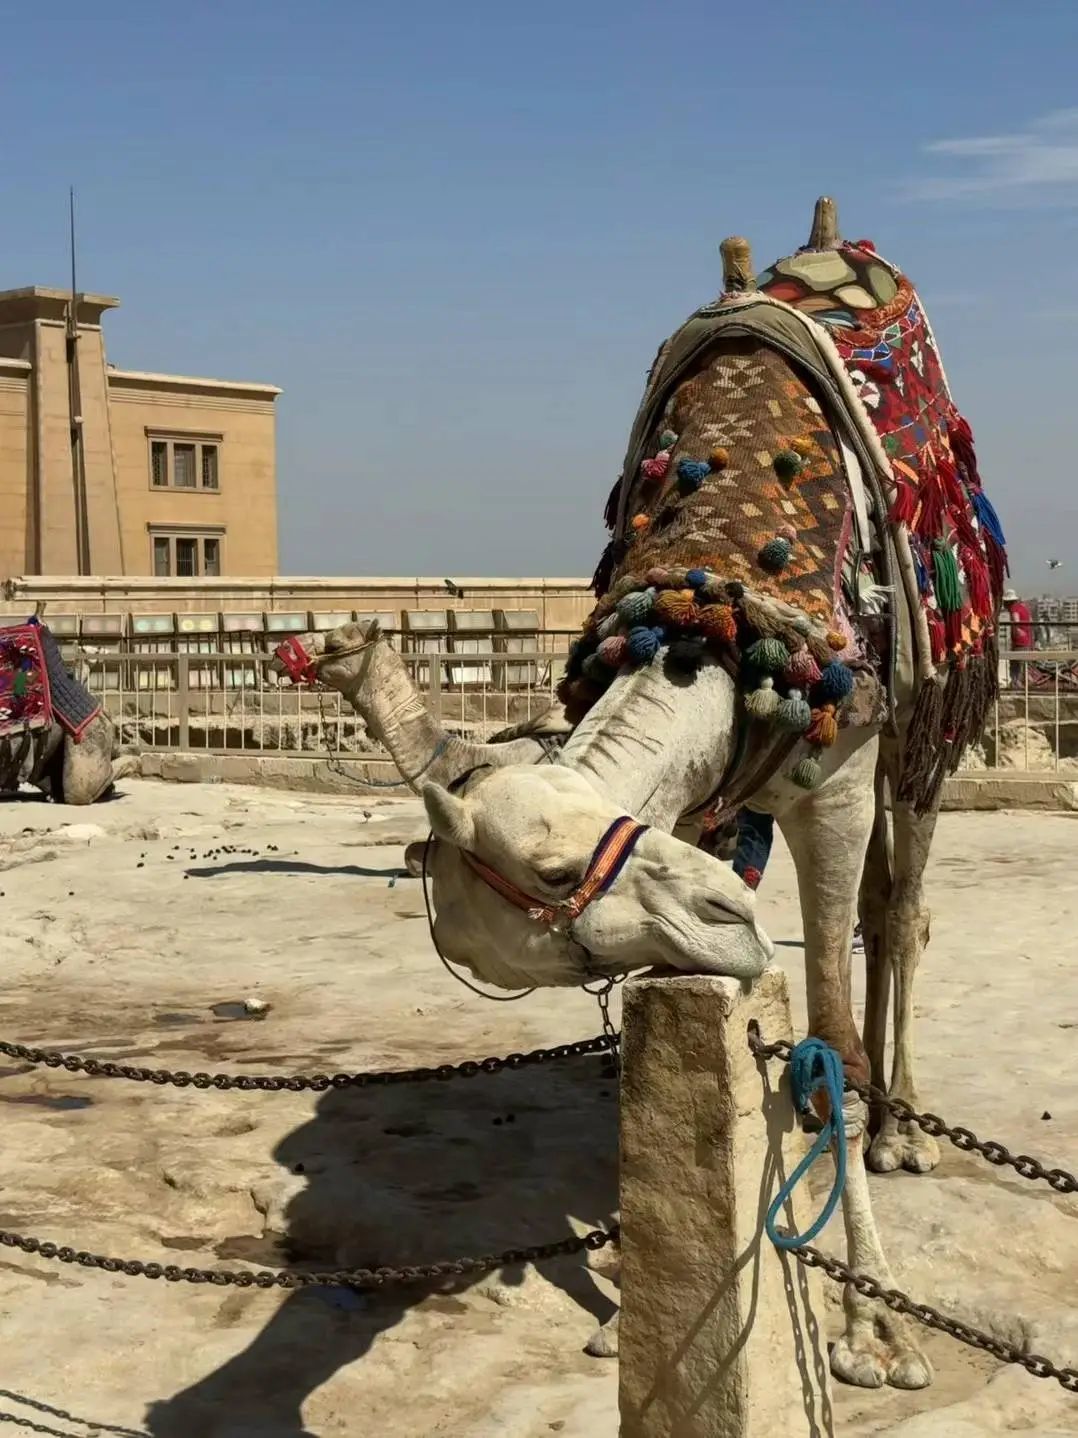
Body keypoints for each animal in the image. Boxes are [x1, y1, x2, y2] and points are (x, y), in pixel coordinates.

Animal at [416, 197, 1011, 1386]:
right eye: (554, 865)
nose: (729, 914)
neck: (711, 611)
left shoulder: (835, 778)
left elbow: (831, 1027)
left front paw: (872, 1322)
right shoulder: (700, 805)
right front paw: (638, 1302)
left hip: (929, 715)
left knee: (901, 906)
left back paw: (901, 1130)